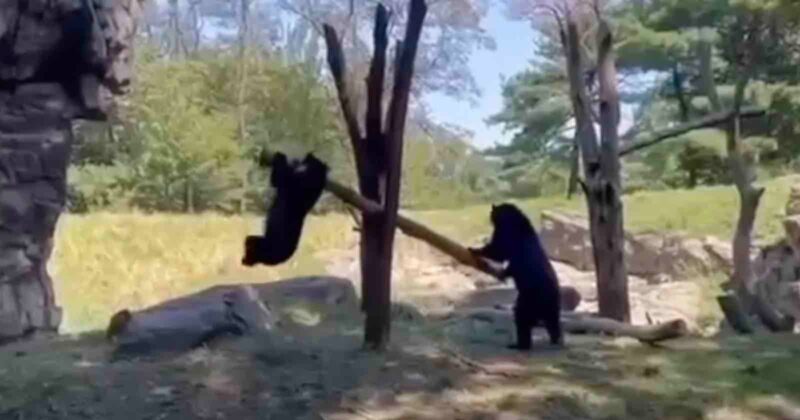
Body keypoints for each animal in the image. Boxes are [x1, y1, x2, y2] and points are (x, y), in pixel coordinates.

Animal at [469, 203, 563, 350]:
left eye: (492, 213)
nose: (489, 215)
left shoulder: (507, 234)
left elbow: (498, 250)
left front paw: (474, 249)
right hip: (550, 307)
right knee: (553, 322)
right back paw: (556, 340)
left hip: (529, 299)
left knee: (522, 317)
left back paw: (520, 344)